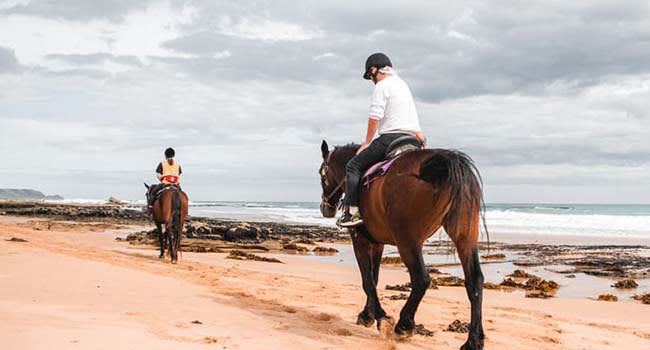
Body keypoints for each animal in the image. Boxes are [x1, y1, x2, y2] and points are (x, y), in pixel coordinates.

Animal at [316, 140, 484, 350]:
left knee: (421, 279)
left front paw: (380, 317)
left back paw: (404, 325)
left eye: (322, 175)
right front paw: (367, 314)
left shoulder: (360, 240)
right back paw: (473, 340)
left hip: (408, 242)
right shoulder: (377, 243)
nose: (325, 208)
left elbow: (367, 280)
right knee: (474, 281)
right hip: (465, 238)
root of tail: (446, 161)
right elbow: (374, 278)